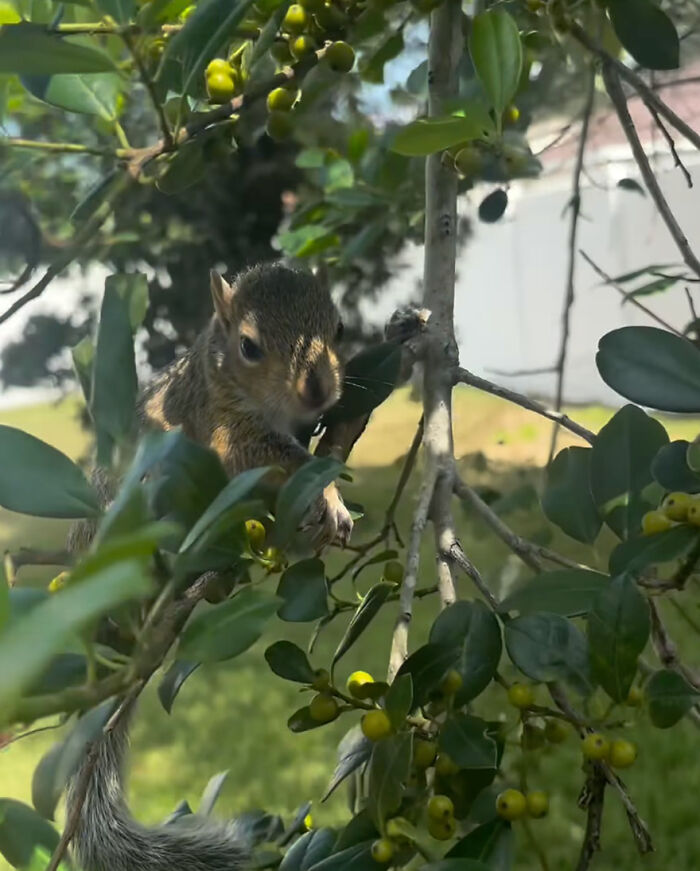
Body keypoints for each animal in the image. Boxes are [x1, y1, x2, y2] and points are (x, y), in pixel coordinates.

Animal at [66, 261, 354, 871]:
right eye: (248, 346)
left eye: (339, 328)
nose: (317, 389)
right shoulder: (224, 425)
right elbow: (279, 457)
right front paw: (330, 495)